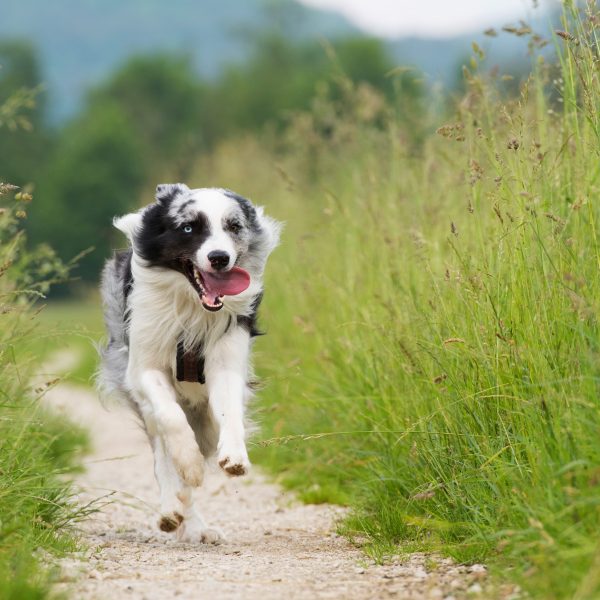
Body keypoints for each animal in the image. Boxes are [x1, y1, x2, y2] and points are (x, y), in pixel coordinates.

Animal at [98, 184, 282, 544]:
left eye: (234, 226)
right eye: (187, 228)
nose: (219, 258)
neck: (192, 308)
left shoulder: (227, 359)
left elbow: (230, 411)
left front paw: (235, 456)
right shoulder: (143, 367)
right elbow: (171, 420)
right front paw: (189, 463)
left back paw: (194, 525)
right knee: (162, 452)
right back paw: (172, 510)